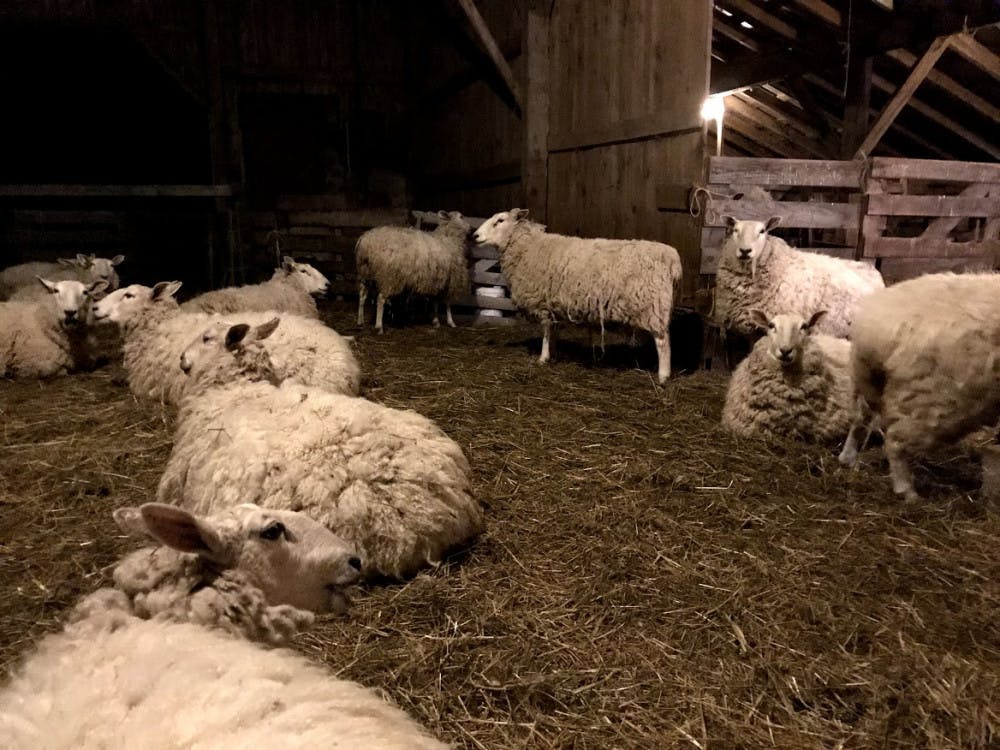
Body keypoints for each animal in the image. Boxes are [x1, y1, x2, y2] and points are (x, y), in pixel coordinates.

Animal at [473, 208, 682, 383]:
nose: (475, 235)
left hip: (654, 306)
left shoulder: (543, 303)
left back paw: (663, 376)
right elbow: (554, 331)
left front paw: (543, 358)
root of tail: (672, 258)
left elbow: (546, 332)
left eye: (500, 220)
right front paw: (554, 355)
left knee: (663, 342)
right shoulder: (553, 303)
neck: (528, 247)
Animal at [838, 272, 1000, 502]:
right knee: (896, 441)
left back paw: (848, 457)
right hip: (935, 400)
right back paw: (907, 491)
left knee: (860, 419)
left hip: (869, 383)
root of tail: (871, 326)